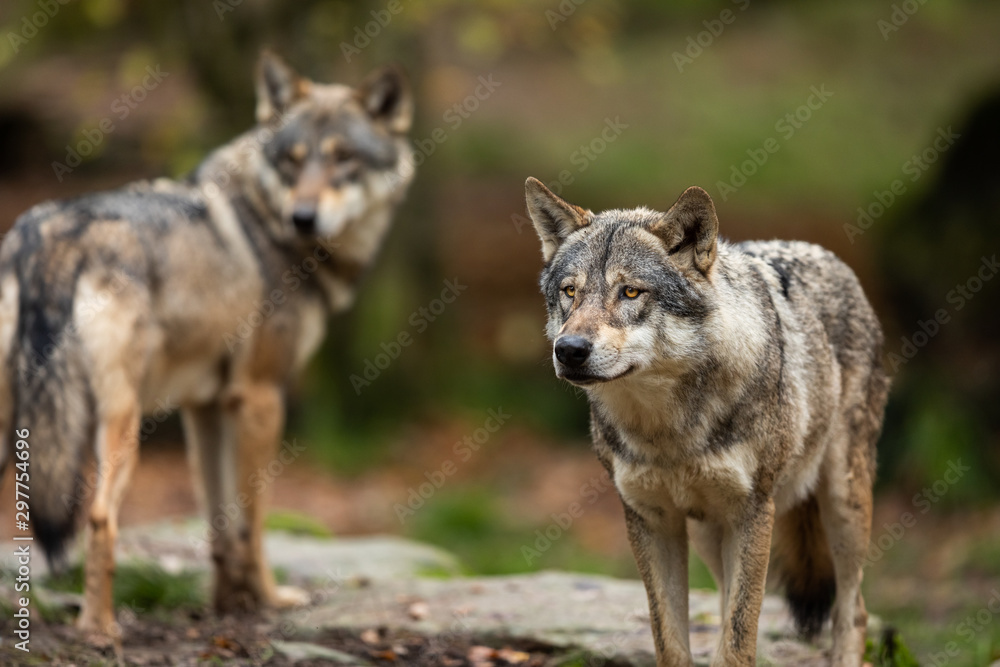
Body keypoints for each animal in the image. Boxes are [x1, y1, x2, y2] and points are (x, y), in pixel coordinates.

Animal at [0, 52, 415, 636]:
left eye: (343, 159)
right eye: (293, 162)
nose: (303, 217)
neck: (265, 217)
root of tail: (46, 235)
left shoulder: (206, 406)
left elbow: (219, 523)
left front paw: (227, 604)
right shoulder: (261, 398)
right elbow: (254, 521)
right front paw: (269, 599)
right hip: (121, 425)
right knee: (101, 517)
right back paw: (101, 631)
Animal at [525, 177, 889, 667]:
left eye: (631, 292)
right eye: (570, 292)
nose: (569, 350)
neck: (669, 432)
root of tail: (826, 253)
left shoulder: (753, 514)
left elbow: (738, 642)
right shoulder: (651, 520)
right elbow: (671, 640)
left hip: (842, 504)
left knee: (853, 610)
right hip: (706, 533)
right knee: (722, 604)